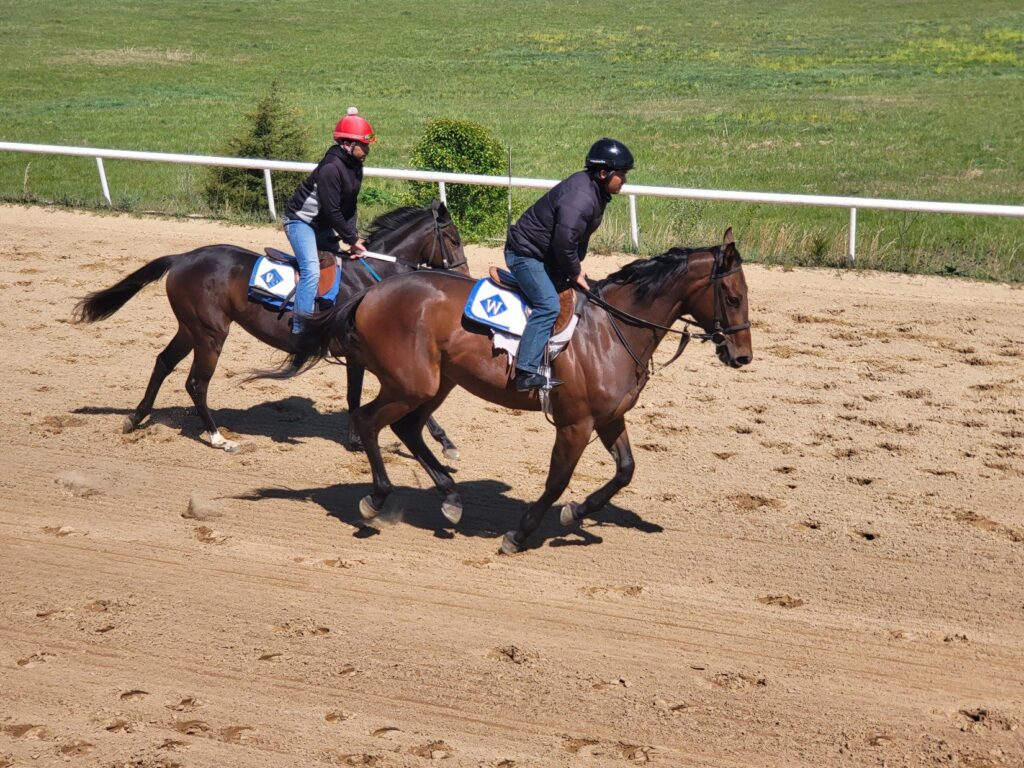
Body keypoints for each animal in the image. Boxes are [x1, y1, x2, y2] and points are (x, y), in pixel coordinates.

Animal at [74, 200, 469, 454]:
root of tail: (183, 258)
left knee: (163, 364)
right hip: (210, 332)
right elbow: (370, 396)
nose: (464, 276)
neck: (368, 278)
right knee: (196, 383)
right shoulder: (362, 353)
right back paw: (218, 438)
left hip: (189, 327)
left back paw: (136, 417)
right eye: (453, 239)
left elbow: (369, 395)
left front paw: (442, 440)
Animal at [282, 228, 753, 553]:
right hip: (411, 384)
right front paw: (521, 532)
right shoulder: (576, 424)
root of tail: (370, 293)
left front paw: (577, 513)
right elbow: (557, 482)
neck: (610, 331)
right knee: (368, 421)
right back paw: (377, 498)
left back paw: (451, 498)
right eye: (732, 297)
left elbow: (625, 471)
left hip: (437, 382)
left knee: (408, 429)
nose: (743, 356)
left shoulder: (610, 417)